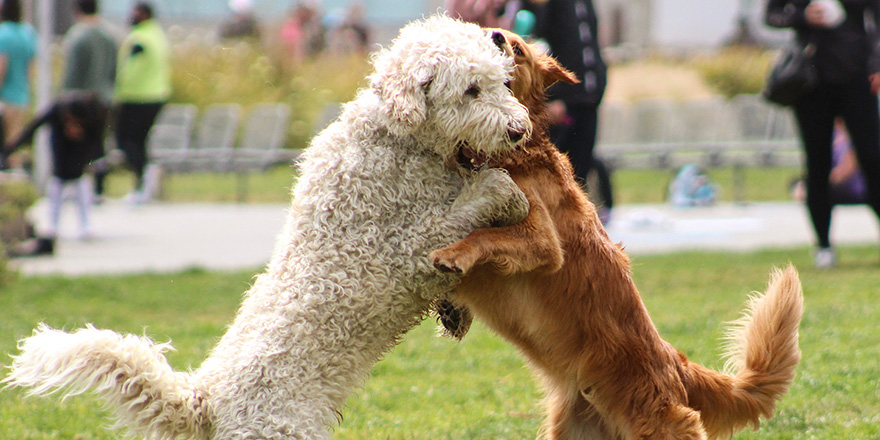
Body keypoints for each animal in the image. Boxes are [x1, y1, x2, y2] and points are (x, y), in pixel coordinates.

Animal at [3, 15, 532, 438]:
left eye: (502, 82)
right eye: (470, 90)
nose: (518, 131)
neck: (394, 137)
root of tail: (205, 400)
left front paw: (454, 312)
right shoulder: (397, 251)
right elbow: (473, 202)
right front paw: (506, 194)